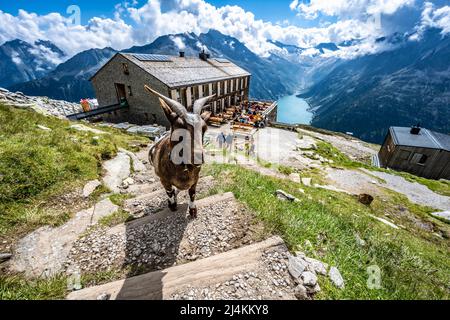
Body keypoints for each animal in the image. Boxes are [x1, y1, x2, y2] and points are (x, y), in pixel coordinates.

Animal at [144, 85, 214, 218]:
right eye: (179, 127)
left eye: (204, 128)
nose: (198, 157)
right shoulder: (164, 180)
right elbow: (169, 192)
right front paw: (172, 205)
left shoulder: (195, 179)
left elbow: (192, 192)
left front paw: (193, 210)